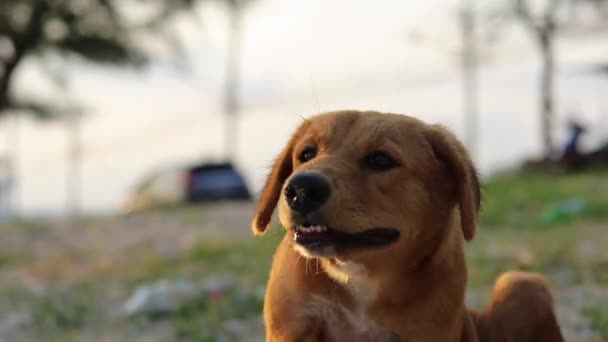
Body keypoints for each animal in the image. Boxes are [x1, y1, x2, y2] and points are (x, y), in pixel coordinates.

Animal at [249, 111, 564, 340]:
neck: (360, 278)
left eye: (380, 159)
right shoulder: (292, 327)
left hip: (522, 282)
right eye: (306, 154)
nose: (300, 190)